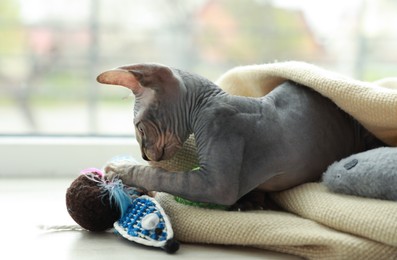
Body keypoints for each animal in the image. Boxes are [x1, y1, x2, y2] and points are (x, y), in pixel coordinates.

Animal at [96, 63, 384, 207]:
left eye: (139, 127)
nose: (144, 156)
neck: (209, 103)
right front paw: (253, 200)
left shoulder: (216, 182)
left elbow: (163, 175)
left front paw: (121, 169)